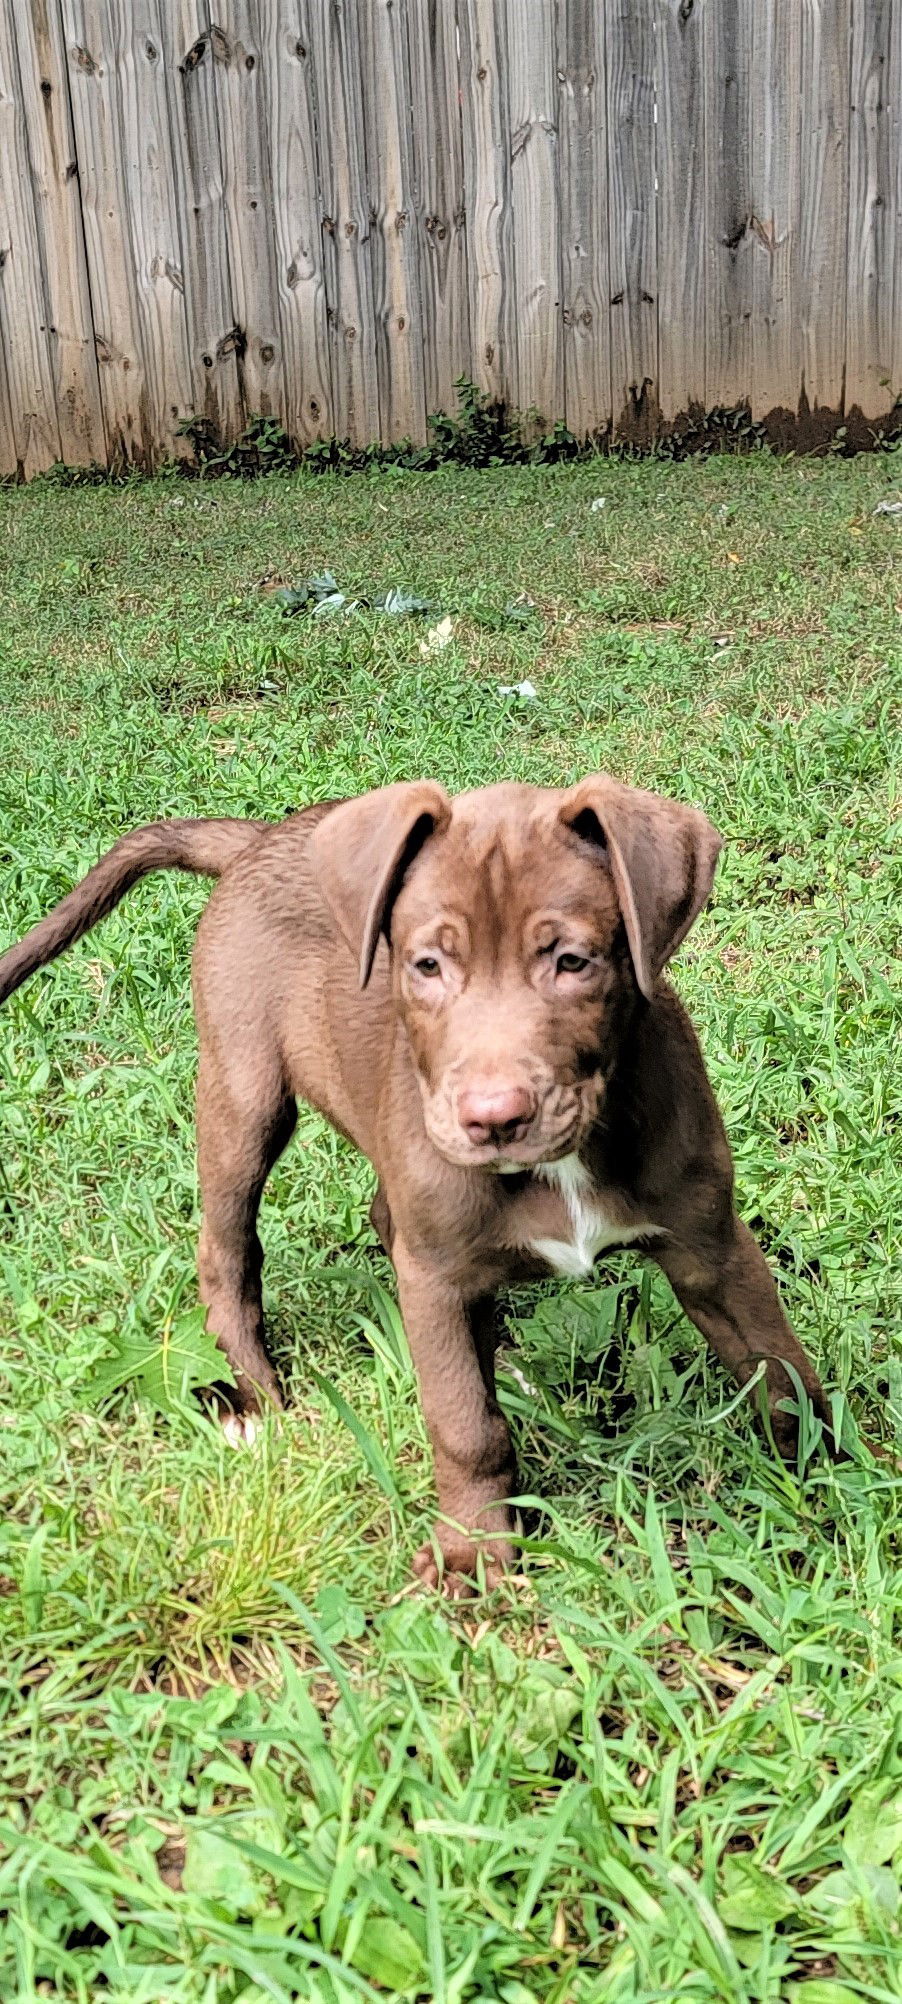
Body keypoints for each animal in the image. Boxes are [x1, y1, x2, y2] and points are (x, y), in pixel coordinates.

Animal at [0, 781, 829, 1579]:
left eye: (573, 961)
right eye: (428, 965)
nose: (493, 1118)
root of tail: (261, 839)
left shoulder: (710, 1245)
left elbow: (781, 1367)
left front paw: (828, 1477)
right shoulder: (437, 1270)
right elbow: (466, 1424)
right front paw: (473, 1551)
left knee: (384, 1218)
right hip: (243, 1092)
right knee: (226, 1247)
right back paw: (257, 1397)